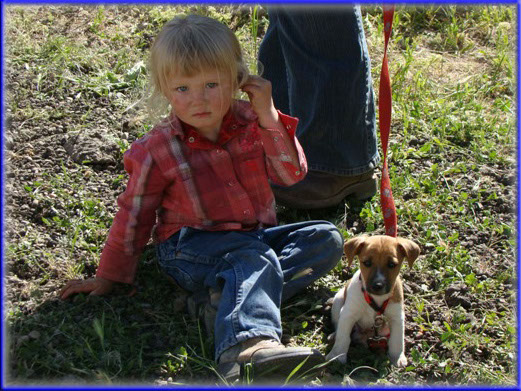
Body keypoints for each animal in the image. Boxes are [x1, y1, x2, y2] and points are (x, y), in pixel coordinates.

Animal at [324, 236, 418, 368]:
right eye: (367, 263)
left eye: (392, 264)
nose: (378, 285)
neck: (375, 299)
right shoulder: (348, 314)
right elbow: (343, 337)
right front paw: (337, 356)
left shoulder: (396, 317)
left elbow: (397, 340)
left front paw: (397, 357)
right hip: (338, 301)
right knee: (338, 325)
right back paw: (334, 335)